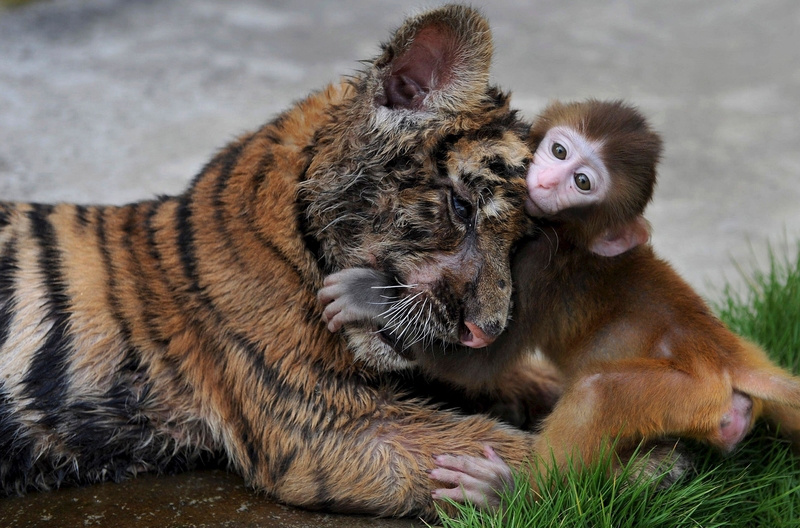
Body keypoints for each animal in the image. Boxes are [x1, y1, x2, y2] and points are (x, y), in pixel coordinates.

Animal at [318, 99, 800, 508]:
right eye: (559, 150)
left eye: (582, 183)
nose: (548, 180)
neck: (568, 236)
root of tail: (729, 355)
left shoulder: (538, 267)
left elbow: (477, 362)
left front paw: (369, 296)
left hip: (689, 393)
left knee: (597, 392)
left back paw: (511, 493)